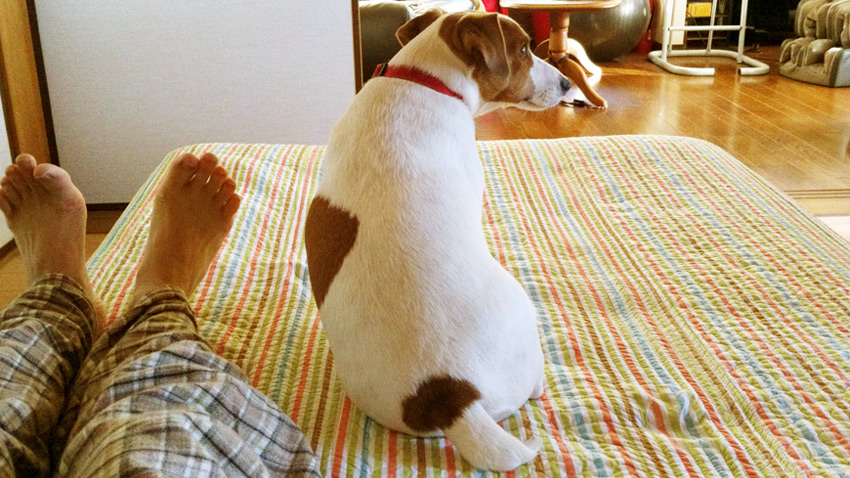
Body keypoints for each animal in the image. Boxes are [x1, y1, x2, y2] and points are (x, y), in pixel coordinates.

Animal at [304, 9, 571, 471]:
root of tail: (448, 395)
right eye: (523, 49)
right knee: (534, 383)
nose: (568, 84)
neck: (421, 79)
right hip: (523, 316)